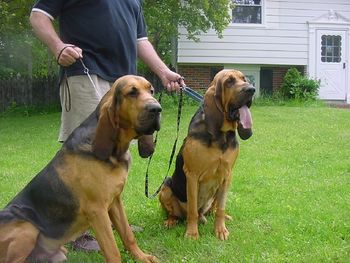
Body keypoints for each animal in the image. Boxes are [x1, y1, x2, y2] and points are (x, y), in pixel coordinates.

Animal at [0, 75, 161, 263]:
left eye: (151, 91)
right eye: (132, 92)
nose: (157, 109)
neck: (116, 152)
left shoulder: (114, 201)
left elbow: (128, 234)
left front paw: (142, 257)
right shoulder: (97, 210)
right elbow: (112, 250)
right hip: (27, 228)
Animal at [159, 69, 254, 241]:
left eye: (244, 79)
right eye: (229, 81)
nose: (251, 89)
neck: (221, 136)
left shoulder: (227, 175)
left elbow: (221, 208)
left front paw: (221, 230)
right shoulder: (192, 175)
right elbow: (192, 210)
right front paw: (192, 233)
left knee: (213, 209)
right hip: (166, 187)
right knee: (177, 213)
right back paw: (171, 221)